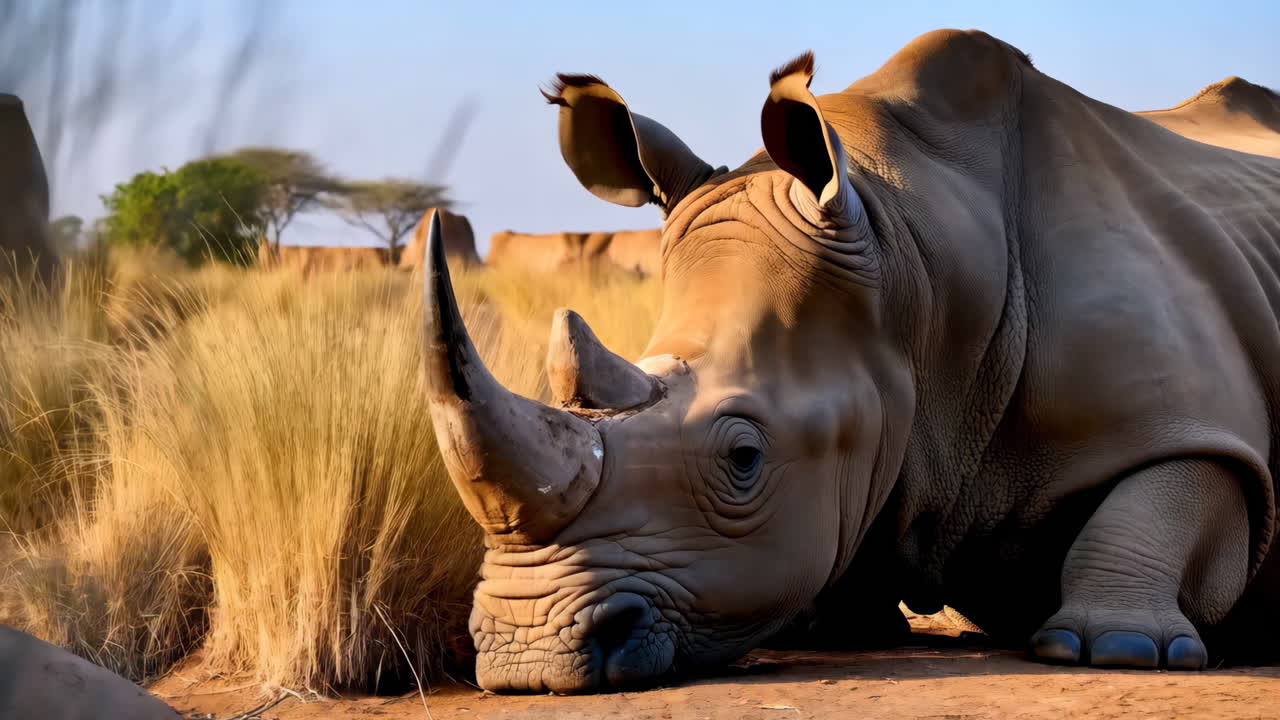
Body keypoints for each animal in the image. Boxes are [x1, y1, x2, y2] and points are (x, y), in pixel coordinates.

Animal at [419, 29, 1280, 693]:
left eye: (743, 457)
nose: (527, 656)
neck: (913, 272)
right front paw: (833, 630)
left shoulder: (1198, 417)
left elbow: (1181, 487)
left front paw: (1115, 650)